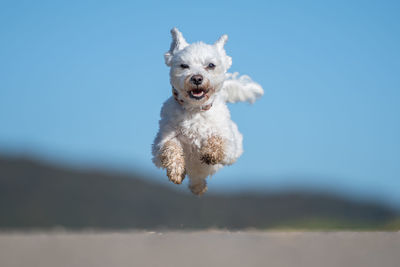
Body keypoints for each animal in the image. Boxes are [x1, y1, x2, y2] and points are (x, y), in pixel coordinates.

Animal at [152, 28, 262, 196]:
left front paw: (211, 152)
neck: (195, 110)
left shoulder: (229, 143)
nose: (197, 78)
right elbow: (171, 145)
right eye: (184, 65)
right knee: (196, 177)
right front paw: (176, 170)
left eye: (211, 65)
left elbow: (217, 139)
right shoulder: (160, 144)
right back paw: (197, 187)